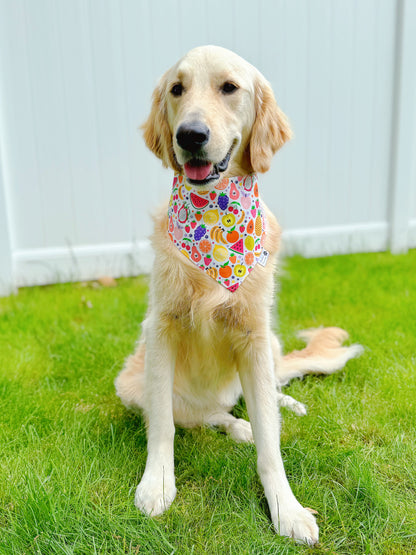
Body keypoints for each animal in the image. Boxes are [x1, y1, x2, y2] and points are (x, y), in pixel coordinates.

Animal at [115, 45, 362, 544]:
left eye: (229, 88)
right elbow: (163, 426)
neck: (215, 221)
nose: (190, 135)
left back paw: (283, 404)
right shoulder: (161, 329)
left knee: (266, 391)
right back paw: (237, 425)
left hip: (269, 345)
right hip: (130, 382)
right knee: (205, 415)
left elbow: (271, 441)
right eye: (177, 89)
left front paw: (286, 509)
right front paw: (157, 485)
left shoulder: (254, 335)